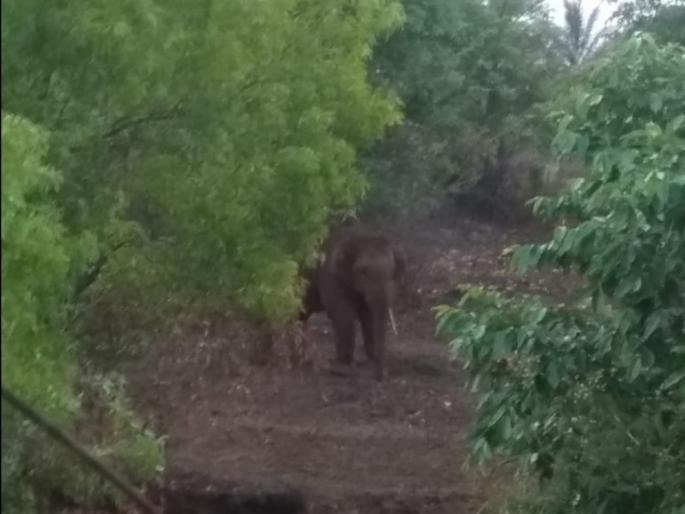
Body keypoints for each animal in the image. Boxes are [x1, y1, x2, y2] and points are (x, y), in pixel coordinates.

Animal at [299, 226, 405, 381]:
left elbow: (368, 317)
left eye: (392, 270)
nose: (380, 377)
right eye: (363, 271)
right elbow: (344, 317)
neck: (359, 234)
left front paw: (370, 359)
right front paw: (342, 368)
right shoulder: (331, 276)